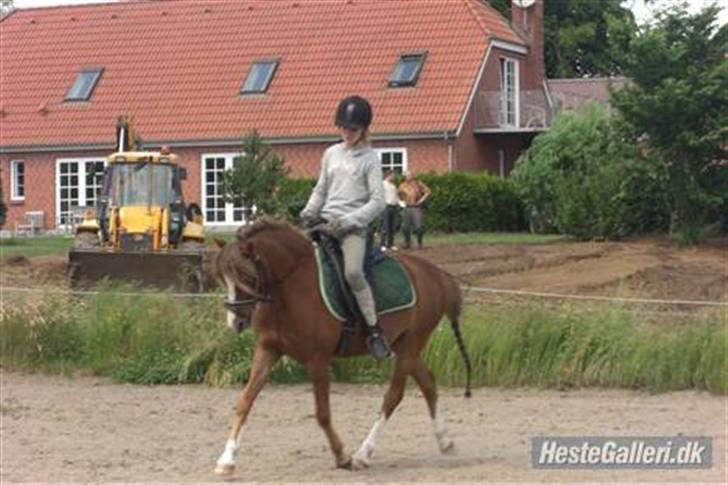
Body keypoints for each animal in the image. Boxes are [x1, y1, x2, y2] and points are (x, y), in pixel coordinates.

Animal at [212, 220, 472, 476]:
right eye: (222, 277)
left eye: (247, 276)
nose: (236, 322)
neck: (290, 286)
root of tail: (435, 273)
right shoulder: (267, 351)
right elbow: (245, 401)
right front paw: (226, 460)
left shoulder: (317, 360)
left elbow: (322, 414)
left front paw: (342, 457)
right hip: (403, 345)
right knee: (428, 383)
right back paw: (445, 442)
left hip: (411, 344)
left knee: (393, 396)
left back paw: (363, 454)